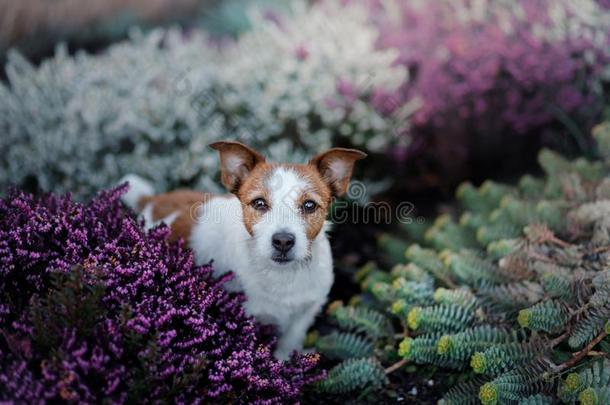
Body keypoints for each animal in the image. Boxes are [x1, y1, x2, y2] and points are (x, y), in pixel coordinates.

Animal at [121, 140, 364, 358]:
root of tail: (153, 200)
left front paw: (284, 363)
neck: (281, 275)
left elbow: (289, 342)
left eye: (309, 205)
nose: (283, 241)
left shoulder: (305, 312)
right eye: (259, 203)